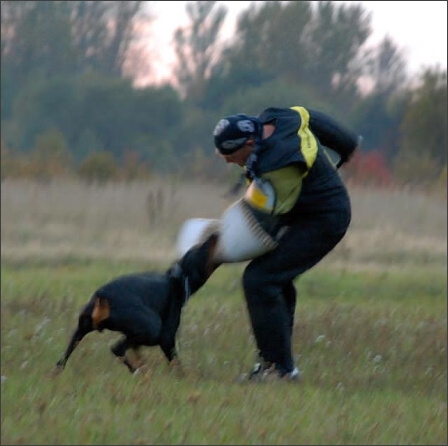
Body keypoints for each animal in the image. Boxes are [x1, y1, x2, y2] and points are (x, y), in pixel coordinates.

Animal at [53, 233, 220, 376]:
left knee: (62, 360)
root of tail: (102, 296)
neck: (176, 280)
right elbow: (177, 364)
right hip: (151, 329)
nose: (214, 234)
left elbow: (138, 353)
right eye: (202, 248)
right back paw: (139, 371)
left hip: (81, 329)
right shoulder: (167, 338)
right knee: (117, 349)